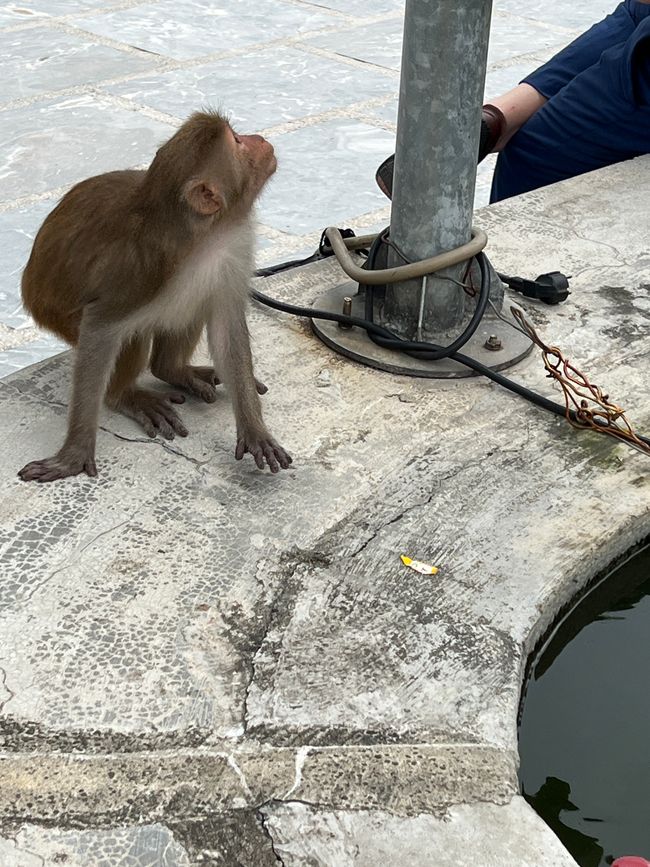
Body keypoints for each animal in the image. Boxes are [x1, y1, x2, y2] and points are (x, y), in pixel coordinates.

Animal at [18, 110, 292, 482]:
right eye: (237, 141)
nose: (259, 138)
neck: (203, 235)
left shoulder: (233, 249)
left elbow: (226, 324)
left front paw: (253, 429)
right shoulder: (141, 270)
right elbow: (100, 327)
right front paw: (74, 454)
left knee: (195, 301)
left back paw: (173, 369)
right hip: (56, 314)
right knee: (129, 335)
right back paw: (125, 396)